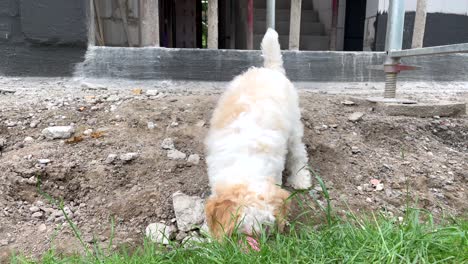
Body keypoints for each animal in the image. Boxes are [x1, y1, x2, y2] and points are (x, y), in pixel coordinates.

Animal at [204, 28, 310, 239]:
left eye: (266, 227)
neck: (245, 164)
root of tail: (270, 69)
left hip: (294, 125)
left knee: (298, 152)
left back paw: (301, 178)